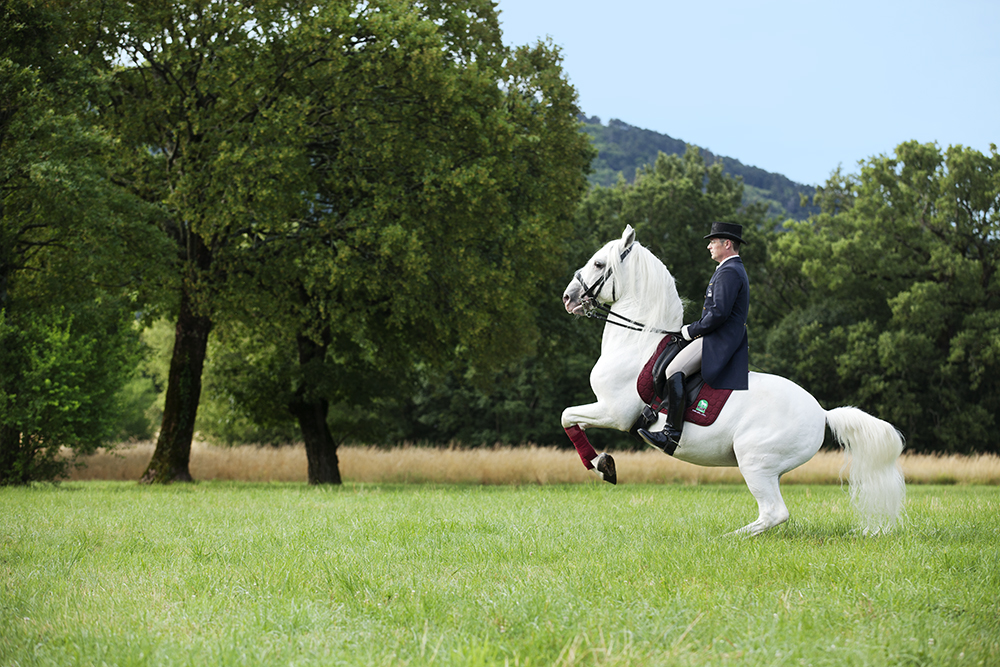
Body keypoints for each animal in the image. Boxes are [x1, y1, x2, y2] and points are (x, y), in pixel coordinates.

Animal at [564, 226, 908, 536]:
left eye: (598, 264)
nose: (568, 298)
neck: (638, 342)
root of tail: (822, 413)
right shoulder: (610, 410)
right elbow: (569, 418)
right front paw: (602, 463)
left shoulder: (614, 412)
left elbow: (567, 416)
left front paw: (601, 464)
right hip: (769, 469)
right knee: (772, 512)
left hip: (753, 459)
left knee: (774, 512)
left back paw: (726, 539)